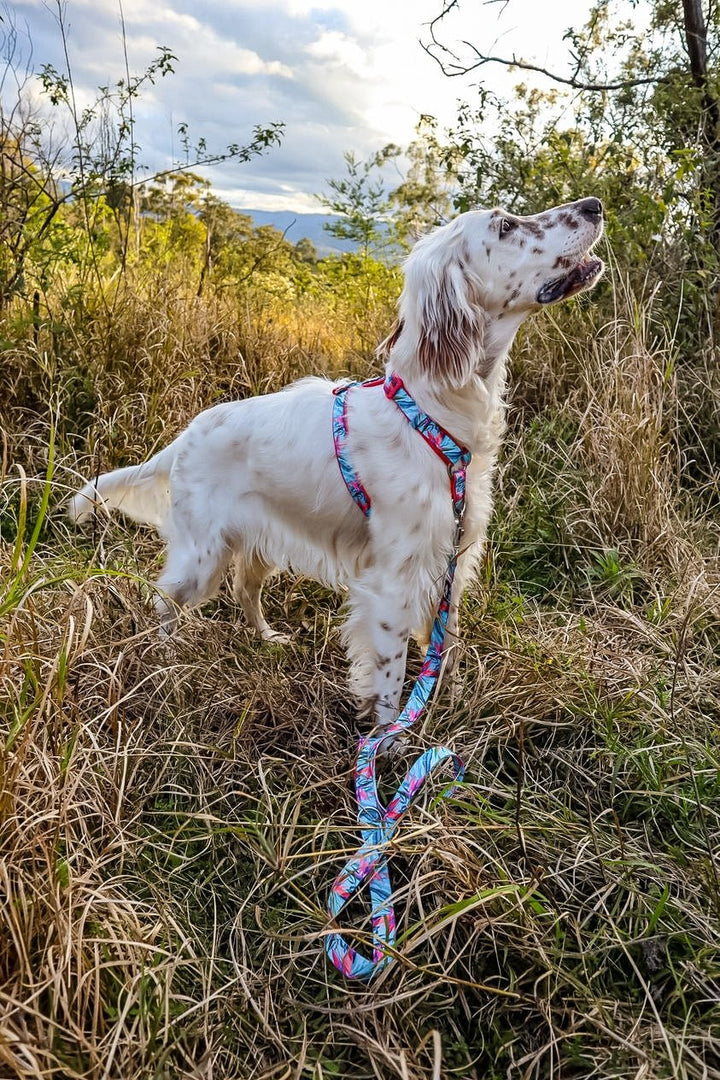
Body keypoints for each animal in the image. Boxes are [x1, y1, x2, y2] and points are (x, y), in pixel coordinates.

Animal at [70, 198, 604, 730]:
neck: (431, 415)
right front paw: (389, 738)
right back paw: (168, 660)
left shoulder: (452, 558)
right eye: (506, 226)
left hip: (260, 543)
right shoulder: (393, 584)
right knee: (164, 599)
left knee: (245, 590)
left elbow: (445, 648)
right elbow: (390, 679)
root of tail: (186, 436)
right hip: (201, 557)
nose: (593, 205)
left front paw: (443, 707)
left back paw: (268, 638)